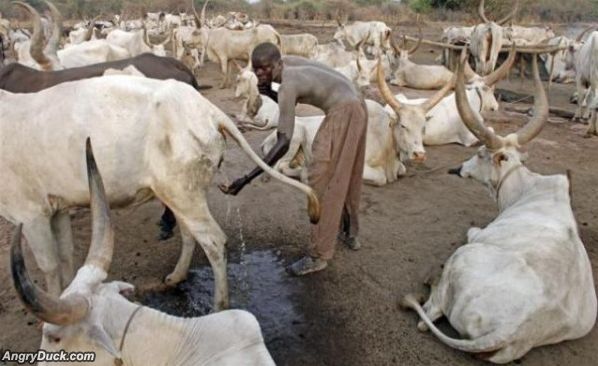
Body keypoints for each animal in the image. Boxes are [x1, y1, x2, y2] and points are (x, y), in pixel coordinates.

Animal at [0, 76, 322, 310]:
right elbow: (65, 256)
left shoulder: (30, 213)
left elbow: (49, 265)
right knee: (191, 234)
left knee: (215, 241)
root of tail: (208, 110)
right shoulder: (56, 208)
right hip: (179, 191)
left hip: (181, 191)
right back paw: (176, 276)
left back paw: (219, 306)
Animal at [400, 54, 596, 364]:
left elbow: (471, 230)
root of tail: (516, 328)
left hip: (460, 258)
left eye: (481, 153)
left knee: (428, 314)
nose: (458, 168)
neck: (526, 190)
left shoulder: (478, 235)